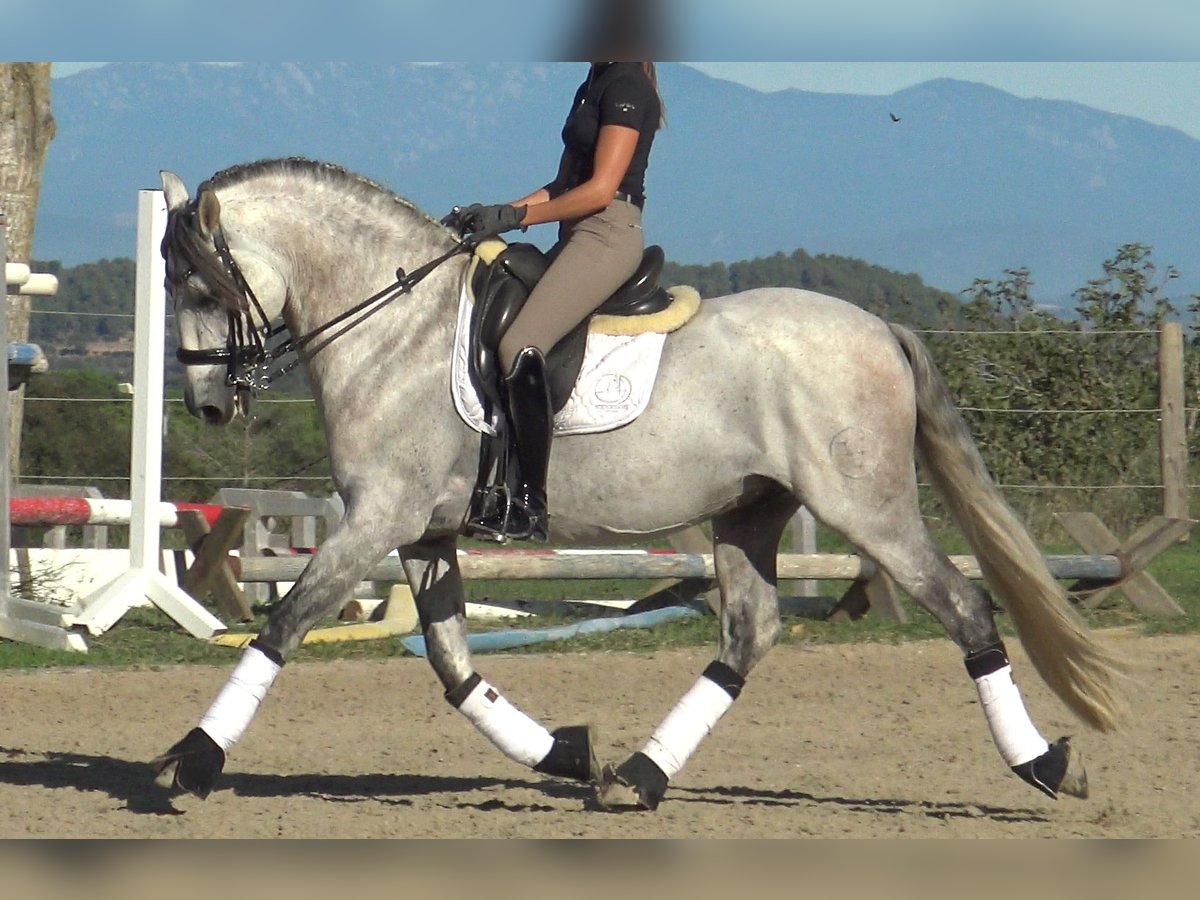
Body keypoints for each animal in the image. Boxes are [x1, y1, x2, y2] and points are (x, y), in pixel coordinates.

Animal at [150, 158, 1123, 816]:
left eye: (198, 282)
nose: (206, 405)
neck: (395, 325)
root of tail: (881, 328)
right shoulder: (421, 529)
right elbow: (455, 664)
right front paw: (565, 752)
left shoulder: (378, 517)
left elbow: (283, 624)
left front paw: (190, 762)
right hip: (749, 511)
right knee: (749, 633)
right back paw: (636, 778)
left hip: (866, 508)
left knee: (963, 606)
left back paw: (1045, 765)